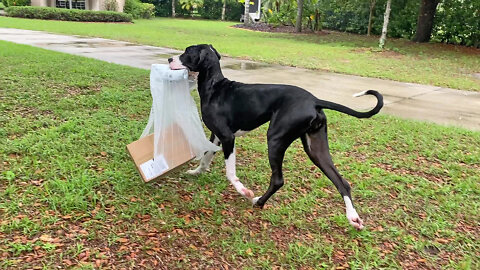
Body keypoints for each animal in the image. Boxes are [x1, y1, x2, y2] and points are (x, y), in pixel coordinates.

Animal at [167, 44, 384, 230]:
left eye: (188, 52)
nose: (169, 58)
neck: (214, 86)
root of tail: (315, 100)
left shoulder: (228, 138)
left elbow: (230, 173)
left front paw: (244, 191)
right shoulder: (216, 136)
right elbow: (205, 157)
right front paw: (196, 172)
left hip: (275, 138)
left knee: (278, 180)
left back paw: (258, 202)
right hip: (316, 148)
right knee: (342, 182)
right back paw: (353, 218)